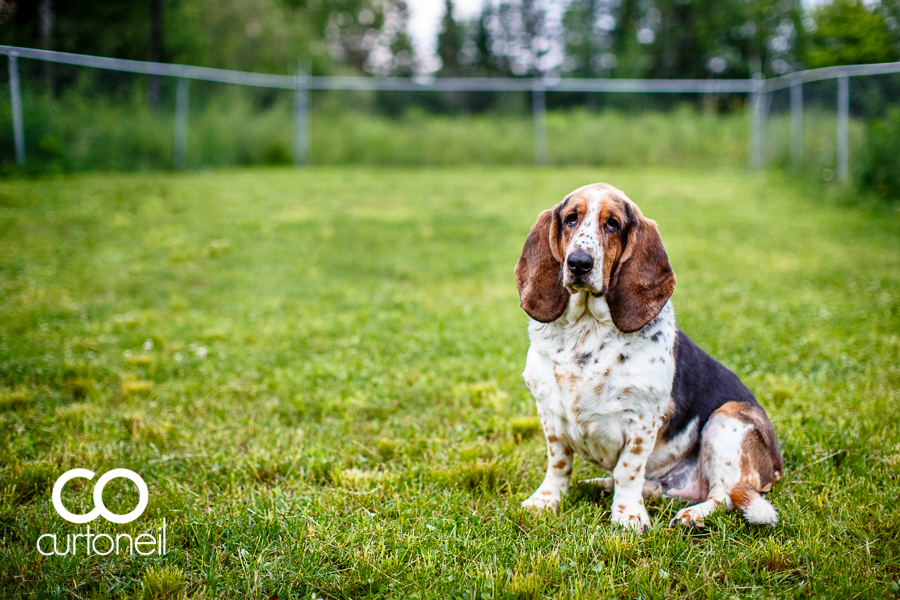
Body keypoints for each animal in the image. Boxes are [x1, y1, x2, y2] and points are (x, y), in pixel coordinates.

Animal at [516, 183, 784, 528]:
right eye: (571, 218)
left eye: (612, 224)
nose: (579, 263)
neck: (587, 331)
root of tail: (776, 466)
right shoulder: (550, 413)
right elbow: (559, 464)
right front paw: (545, 500)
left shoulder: (641, 420)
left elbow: (628, 471)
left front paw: (628, 517)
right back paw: (600, 485)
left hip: (726, 419)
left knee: (723, 495)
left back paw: (690, 515)